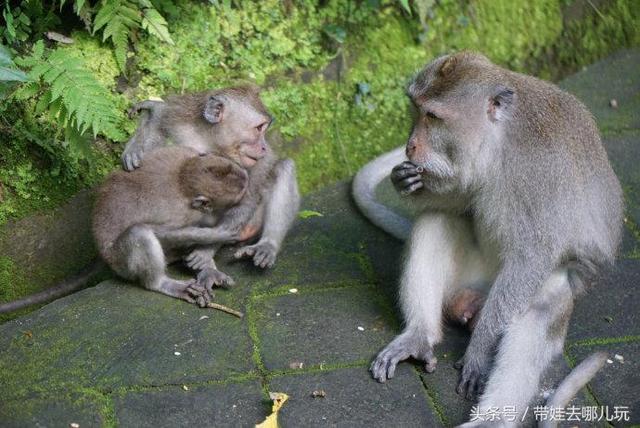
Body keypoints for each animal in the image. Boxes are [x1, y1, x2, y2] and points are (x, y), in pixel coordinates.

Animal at [92, 145, 248, 306]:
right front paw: (217, 235)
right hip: (120, 263)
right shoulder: (181, 213)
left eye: (233, 167)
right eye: (239, 193)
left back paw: (207, 270)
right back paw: (161, 283)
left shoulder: (184, 151)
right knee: (139, 233)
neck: (183, 179)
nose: (245, 176)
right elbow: (161, 232)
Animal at [352, 51, 624, 422]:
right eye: (416, 108)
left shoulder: (542, 174)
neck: (501, 144)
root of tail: (473, 299)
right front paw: (404, 180)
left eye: (432, 116)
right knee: (437, 220)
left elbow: (532, 257)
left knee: (542, 300)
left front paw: (479, 352)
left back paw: (492, 417)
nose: (410, 146)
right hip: (466, 277)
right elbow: (458, 201)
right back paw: (419, 336)